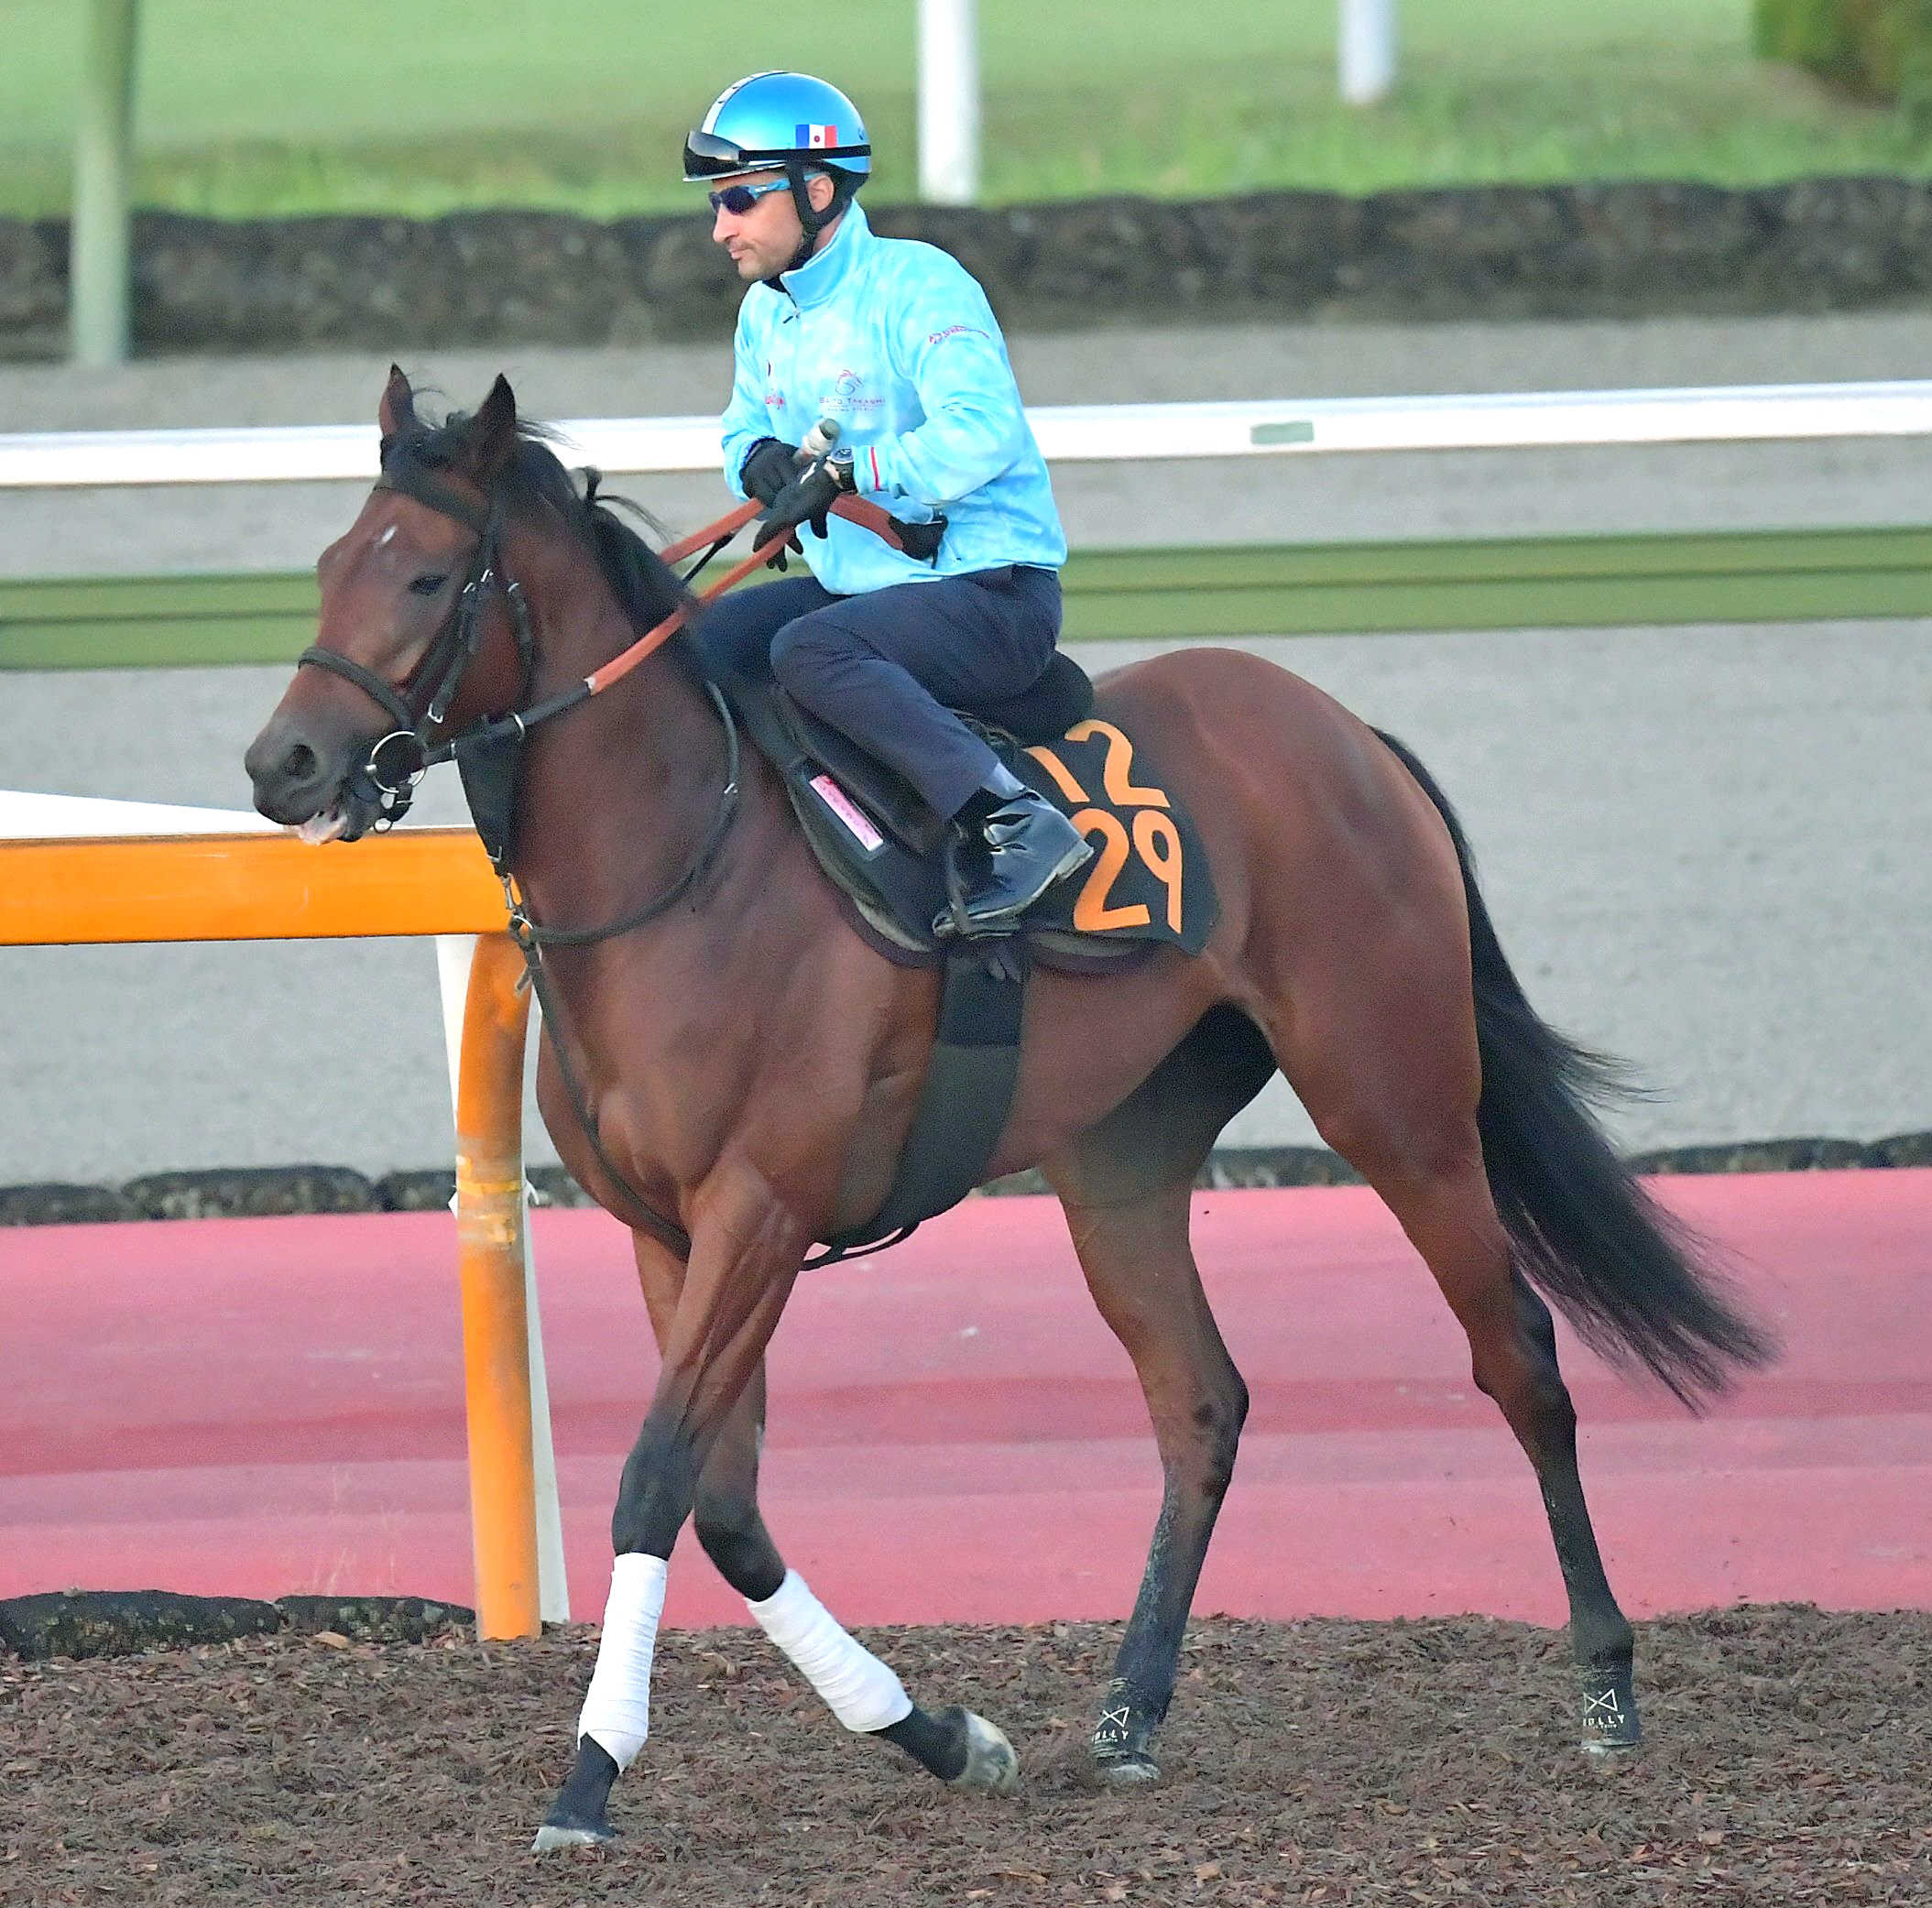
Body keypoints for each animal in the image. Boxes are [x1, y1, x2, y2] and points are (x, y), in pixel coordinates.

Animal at [249, 368, 1769, 1846]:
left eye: (427, 575)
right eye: (327, 562)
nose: (286, 764)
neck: (681, 858)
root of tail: (1344, 732)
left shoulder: (758, 1209)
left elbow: (658, 1479)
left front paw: (588, 1775)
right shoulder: (666, 1230)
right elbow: (728, 1507)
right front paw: (939, 1734)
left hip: (1396, 1101)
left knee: (1517, 1354)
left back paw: (1604, 1682)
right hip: (1122, 1160)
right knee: (1200, 1399)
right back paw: (1131, 1707)